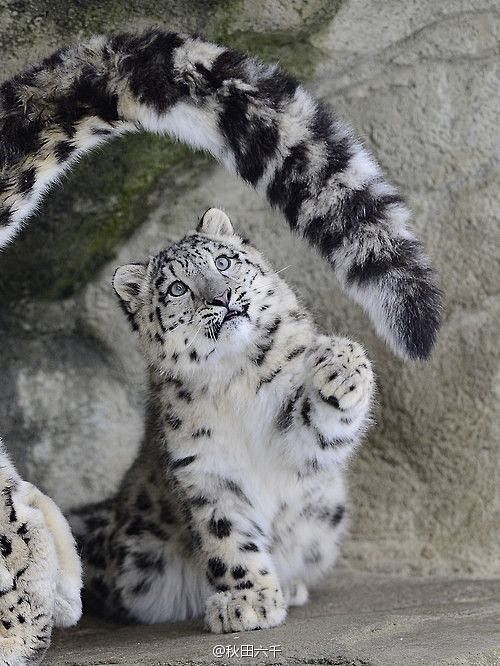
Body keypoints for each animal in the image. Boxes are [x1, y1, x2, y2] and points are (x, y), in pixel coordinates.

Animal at [68, 206, 376, 628]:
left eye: (222, 262)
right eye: (177, 288)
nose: (222, 296)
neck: (236, 375)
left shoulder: (297, 444)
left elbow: (323, 430)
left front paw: (340, 360)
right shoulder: (206, 471)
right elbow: (228, 540)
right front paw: (248, 601)